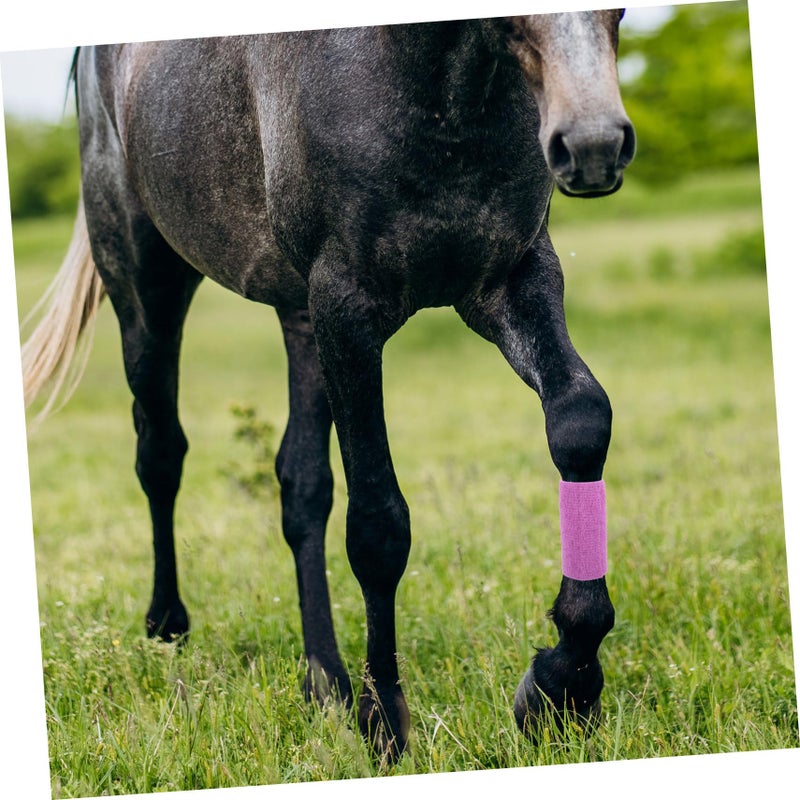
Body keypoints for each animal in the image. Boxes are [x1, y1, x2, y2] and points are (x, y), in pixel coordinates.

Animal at [21, 9, 635, 761]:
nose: (593, 144)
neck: (439, 91)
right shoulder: (348, 309)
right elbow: (377, 524)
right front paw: (385, 722)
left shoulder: (511, 280)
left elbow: (580, 421)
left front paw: (562, 685)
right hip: (146, 286)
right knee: (160, 453)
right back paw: (169, 627)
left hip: (299, 316)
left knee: (300, 484)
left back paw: (324, 683)